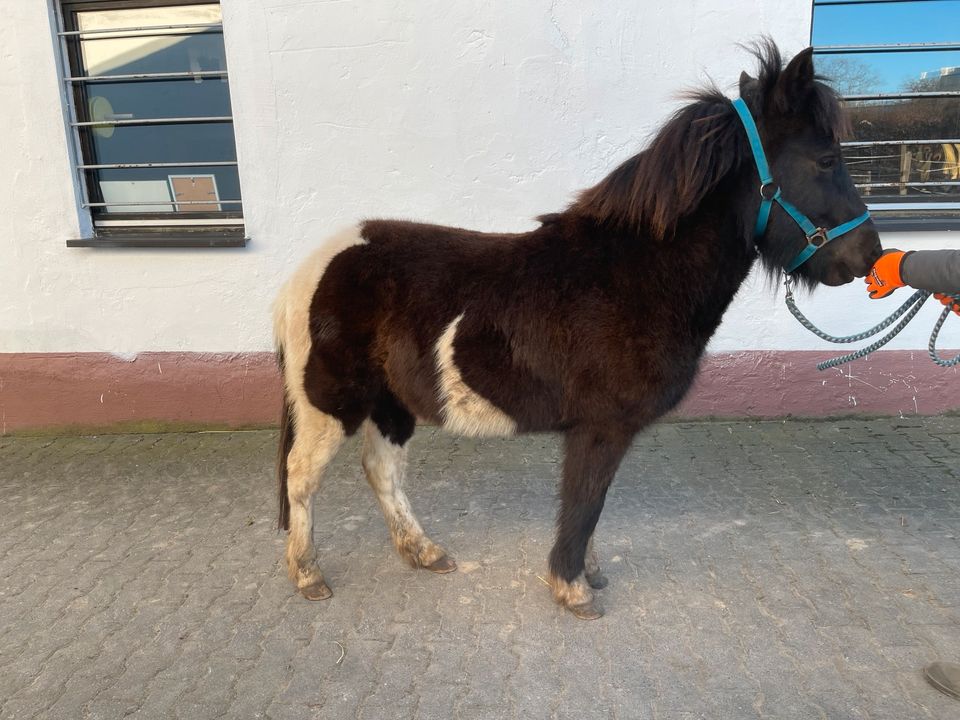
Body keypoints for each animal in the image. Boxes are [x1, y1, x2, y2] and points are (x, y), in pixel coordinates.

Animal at [274, 43, 880, 620]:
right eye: (826, 159)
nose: (869, 255)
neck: (634, 274)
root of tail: (306, 272)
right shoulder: (601, 426)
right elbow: (585, 500)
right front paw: (572, 588)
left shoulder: (598, 430)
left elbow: (590, 502)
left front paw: (586, 573)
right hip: (333, 403)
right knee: (300, 476)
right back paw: (307, 574)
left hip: (391, 403)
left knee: (382, 472)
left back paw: (423, 552)